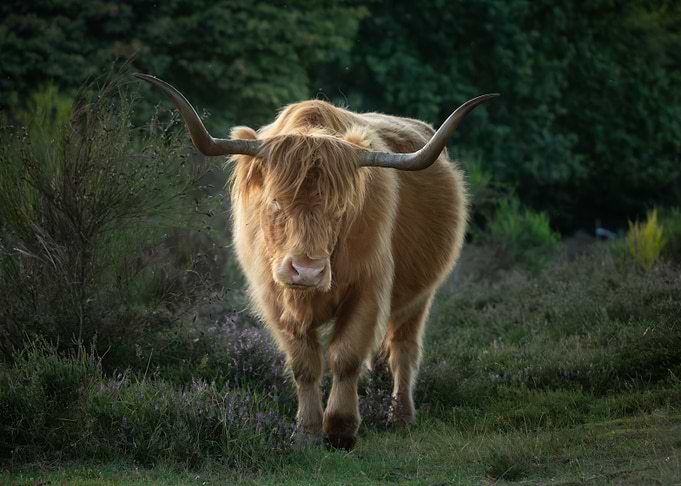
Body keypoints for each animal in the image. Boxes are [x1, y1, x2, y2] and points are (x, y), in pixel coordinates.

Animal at [135, 73, 497, 450]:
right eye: (275, 202)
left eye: (340, 208)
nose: (307, 271)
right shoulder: (274, 298)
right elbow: (304, 364)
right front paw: (307, 429)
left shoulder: (368, 289)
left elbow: (345, 356)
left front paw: (340, 429)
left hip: (419, 298)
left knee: (404, 350)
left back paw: (401, 416)